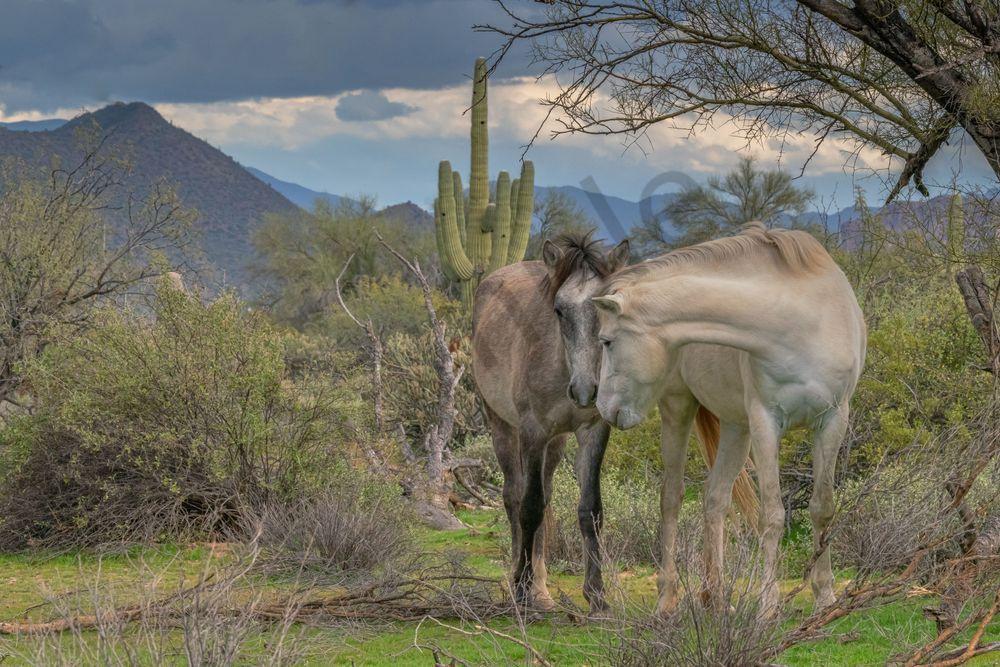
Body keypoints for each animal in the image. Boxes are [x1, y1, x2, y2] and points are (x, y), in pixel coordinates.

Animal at [592, 222, 866, 617]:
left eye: (607, 341)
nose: (604, 407)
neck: (802, 323)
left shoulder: (832, 420)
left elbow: (823, 508)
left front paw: (825, 596)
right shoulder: (767, 422)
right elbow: (772, 515)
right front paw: (767, 605)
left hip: (737, 429)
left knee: (715, 499)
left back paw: (717, 597)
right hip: (680, 409)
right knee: (671, 498)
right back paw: (667, 598)